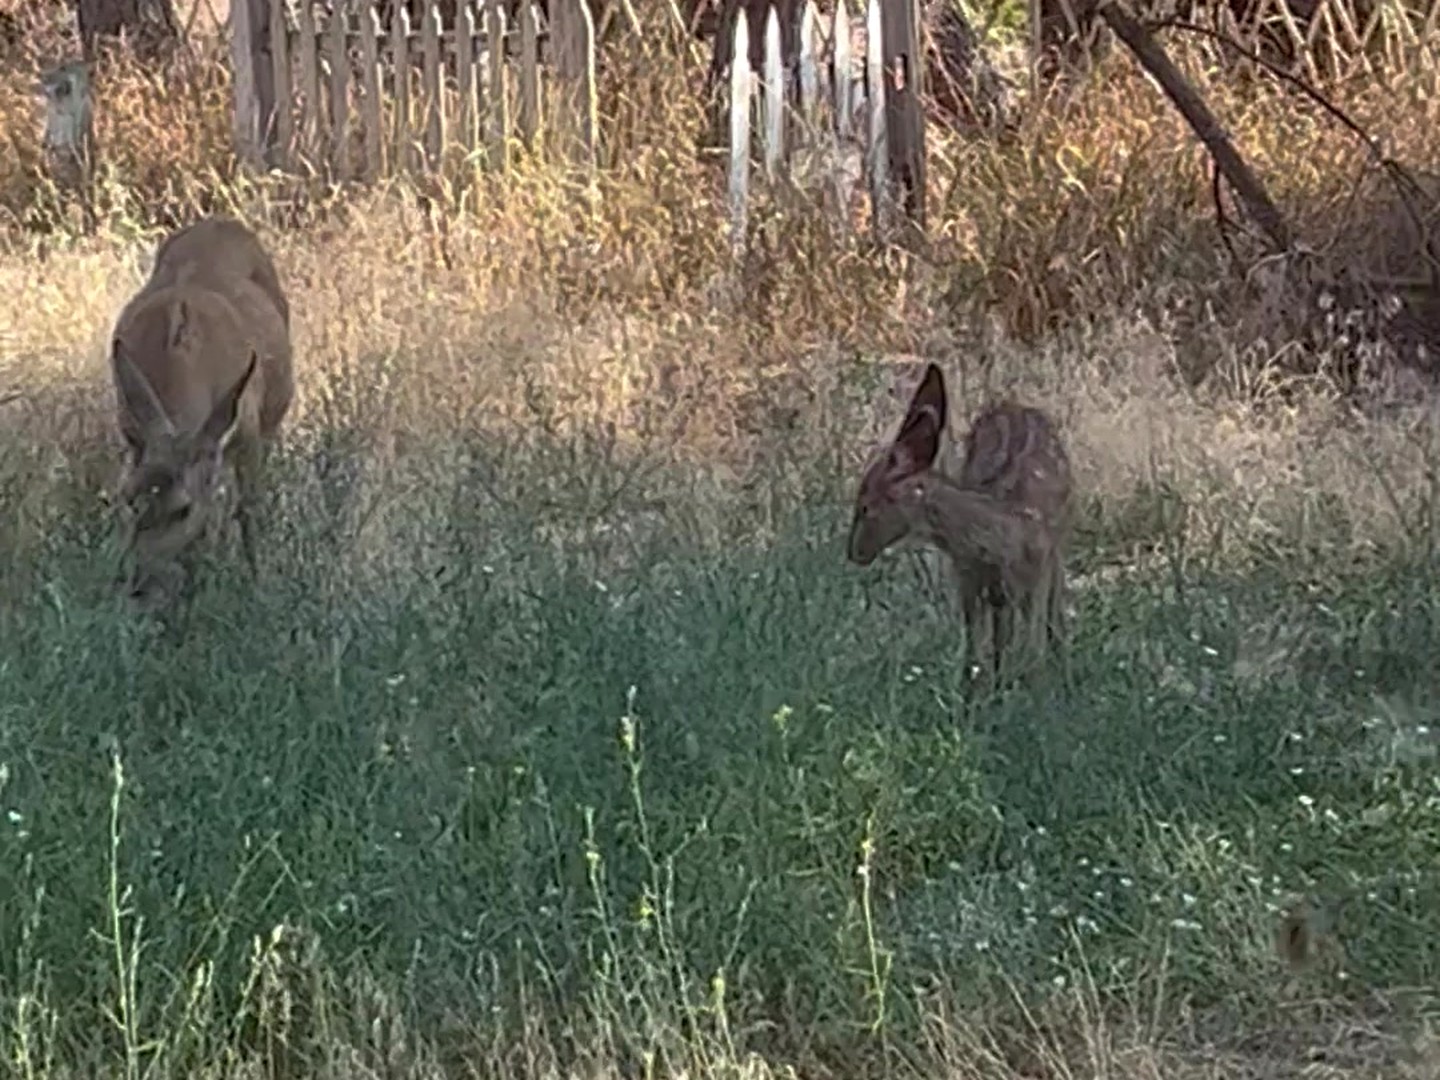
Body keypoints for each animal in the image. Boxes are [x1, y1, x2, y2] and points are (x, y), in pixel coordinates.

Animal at [109, 216, 295, 609]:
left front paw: (255, 587)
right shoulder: (134, 434)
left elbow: (246, 511)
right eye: (128, 498)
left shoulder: (248, 433)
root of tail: (220, 221)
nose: (134, 583)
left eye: (182, 508)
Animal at [846, 362, 1073, 685]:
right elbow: (972, 653)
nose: (855, 552)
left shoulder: (1036, 572)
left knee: (1050, 617)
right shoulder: (967, 580)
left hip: (1055, 551)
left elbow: (1034, 649)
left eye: (866, 507)